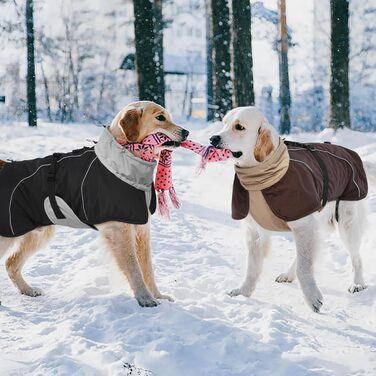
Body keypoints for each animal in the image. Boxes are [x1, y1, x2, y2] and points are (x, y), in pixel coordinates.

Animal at [210, 107, 368, 312]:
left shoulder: (303, 224)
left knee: (355, 257)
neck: (260, 177)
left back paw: (357, 283)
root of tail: (351, 153)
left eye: (239, 127)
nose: (213, 138)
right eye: (224, 124)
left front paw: (312, 297)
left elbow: (304, 266)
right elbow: (251, 267)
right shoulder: (255, 232)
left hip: (347, 222)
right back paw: (288, 274)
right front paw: (243, 291)